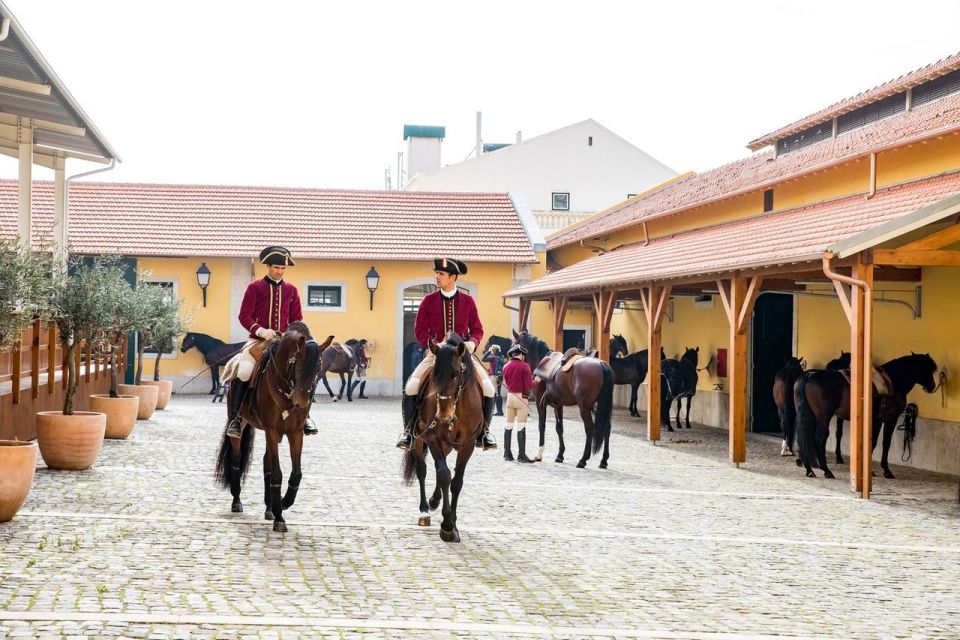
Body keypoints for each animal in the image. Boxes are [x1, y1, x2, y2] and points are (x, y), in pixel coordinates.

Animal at [214, 322, 334, 532]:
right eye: (297, 363)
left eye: (319, 366)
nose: (301, 401)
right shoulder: (272, 430)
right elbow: (277, 473)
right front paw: (280, 516)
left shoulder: (295, 433)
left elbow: (295, 473)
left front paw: (283, 504)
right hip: (241, 423)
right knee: (237, 458)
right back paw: (237, 501)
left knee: (266, 463)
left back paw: (269, 507)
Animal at [402, 332, 484, 544]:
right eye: (434, 375)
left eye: (455, 374)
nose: (443, 416)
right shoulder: (432, 438)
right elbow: (444, 475)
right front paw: (447, 525)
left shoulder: (468, 445)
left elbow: (456, 482)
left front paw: (453, 524)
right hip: (419, 440)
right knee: (422, 470)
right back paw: (425, 509)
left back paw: (435, 499)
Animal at [510, 332, 616, 468]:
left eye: (513, 344)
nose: (509, 357)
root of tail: (601, 364)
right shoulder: (558, 405)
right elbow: (559, 428)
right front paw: (560, 455)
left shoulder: (540, 403)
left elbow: (542, 425)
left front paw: (539, 454)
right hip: (599, 406)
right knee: (607, 428)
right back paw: (603, 460)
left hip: (585, 407)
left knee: (589, 428)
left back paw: (583, 459)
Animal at [796, 350, 936, 480]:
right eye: (926, 368)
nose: (932, 386)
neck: (895, 381)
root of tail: (809, 375)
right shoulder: (891, 419)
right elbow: (885, 442)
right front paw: (886, 471)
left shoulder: (878, 420)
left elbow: (873, 442)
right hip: (824, 417)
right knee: (819, 438)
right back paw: (826, 470)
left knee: (806, 436)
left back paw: (809, 469)